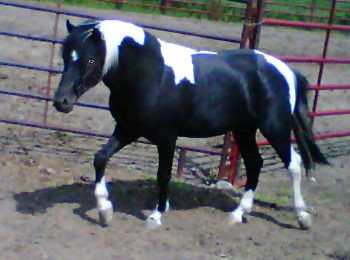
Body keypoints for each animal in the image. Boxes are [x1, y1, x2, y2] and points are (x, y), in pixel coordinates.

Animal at [53, 18, 330, 230]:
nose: (61, 102)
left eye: (90, 60)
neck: (151, 73)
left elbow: (163, 175)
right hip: (244, 130)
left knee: (293, 164)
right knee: (255, 164)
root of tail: (286, 71)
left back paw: (302, 217)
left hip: (275, 128)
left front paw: (156, 215)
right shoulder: (127, 130)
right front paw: (104, 210)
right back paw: (238, 214)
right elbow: (100, 158)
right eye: (65, 56)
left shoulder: (166, 137)